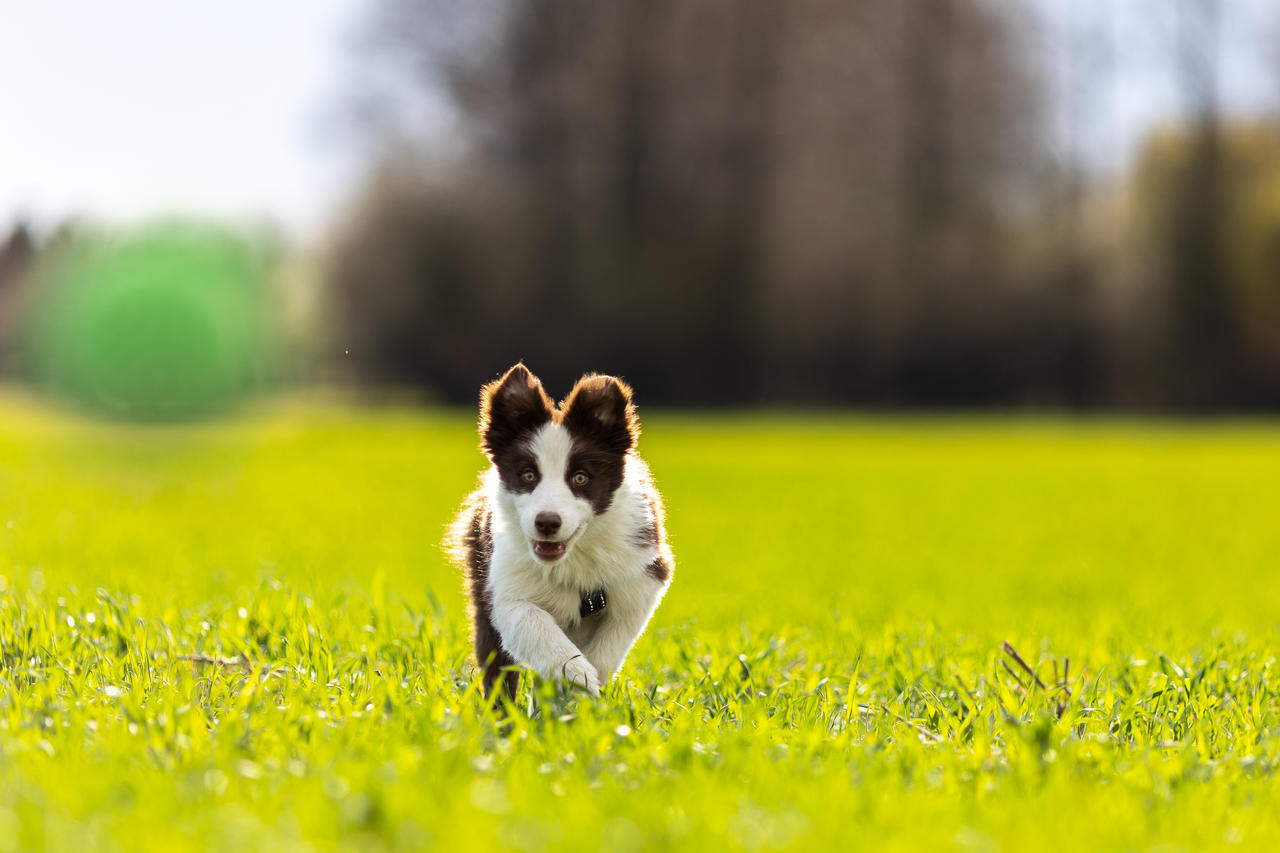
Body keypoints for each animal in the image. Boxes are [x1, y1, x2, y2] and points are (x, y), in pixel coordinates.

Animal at [448, 361, 675, 696]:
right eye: (528, 475)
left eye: (580, 478)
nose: (546, 522)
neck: (575, 555)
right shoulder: (504, 587)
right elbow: (532, 621)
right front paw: (575, 672)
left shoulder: (644, 575)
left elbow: (610, 644)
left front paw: (585, 684)